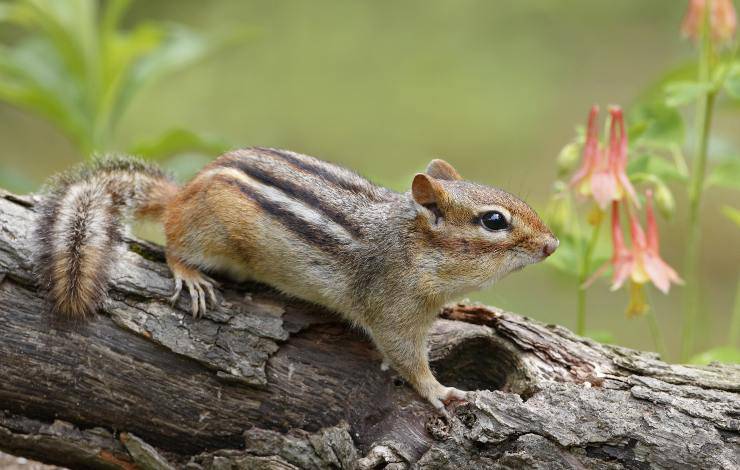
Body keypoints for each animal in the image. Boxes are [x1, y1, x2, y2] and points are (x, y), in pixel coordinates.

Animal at [33, 147, 558, 409]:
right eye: (494, 220)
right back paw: (190, 275)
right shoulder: (392, 311)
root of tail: (182, 194)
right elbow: (408, 360)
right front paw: (440, 391)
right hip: (207, 235)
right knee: (174, 243)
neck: (411, 247)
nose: (551, 245)